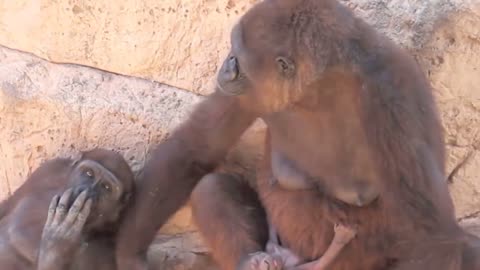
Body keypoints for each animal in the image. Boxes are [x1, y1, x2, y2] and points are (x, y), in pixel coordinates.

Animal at [0, 149, 135, 268]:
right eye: (89, 173)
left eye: (106, 187)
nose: (86, 191)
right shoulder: (51, 168)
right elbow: (8, 204)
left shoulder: (102, 253)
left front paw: (56, 245)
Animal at [115, 0, 480, 270]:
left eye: (238, 55)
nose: (226, 66)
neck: (321, 88)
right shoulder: (252, 91)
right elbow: (197, 147)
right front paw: (128, 255)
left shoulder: (392, 95)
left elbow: (431, 235)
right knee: (211, 187)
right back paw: (253, 260)